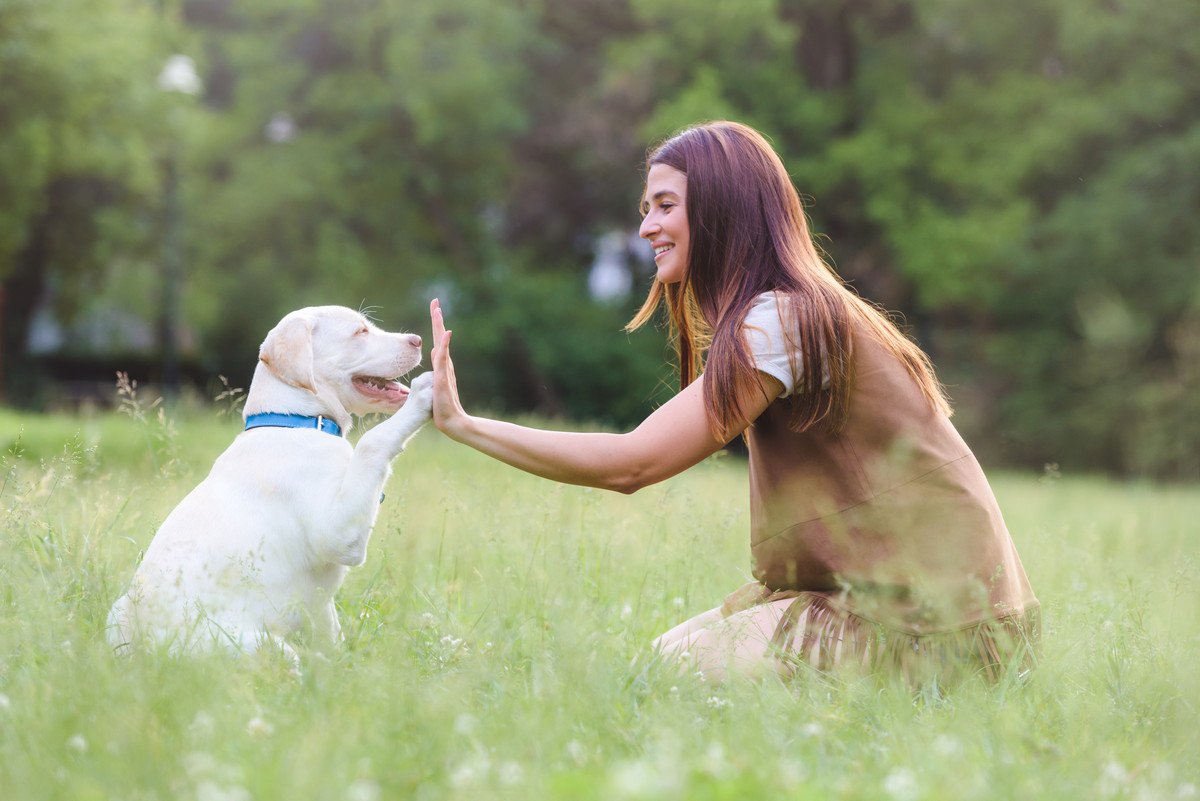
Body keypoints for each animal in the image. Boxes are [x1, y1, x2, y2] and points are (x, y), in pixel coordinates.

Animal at [104, 303, 432, 666]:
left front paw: (339, 667)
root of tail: (150, 653)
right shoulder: (338, 533)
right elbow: (373, 442)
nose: (418, 340)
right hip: (260, 647)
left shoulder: (320, 603)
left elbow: (330, 632)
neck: (295, 421)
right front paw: (424, 395)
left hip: (115, 613)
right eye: (360, 332)